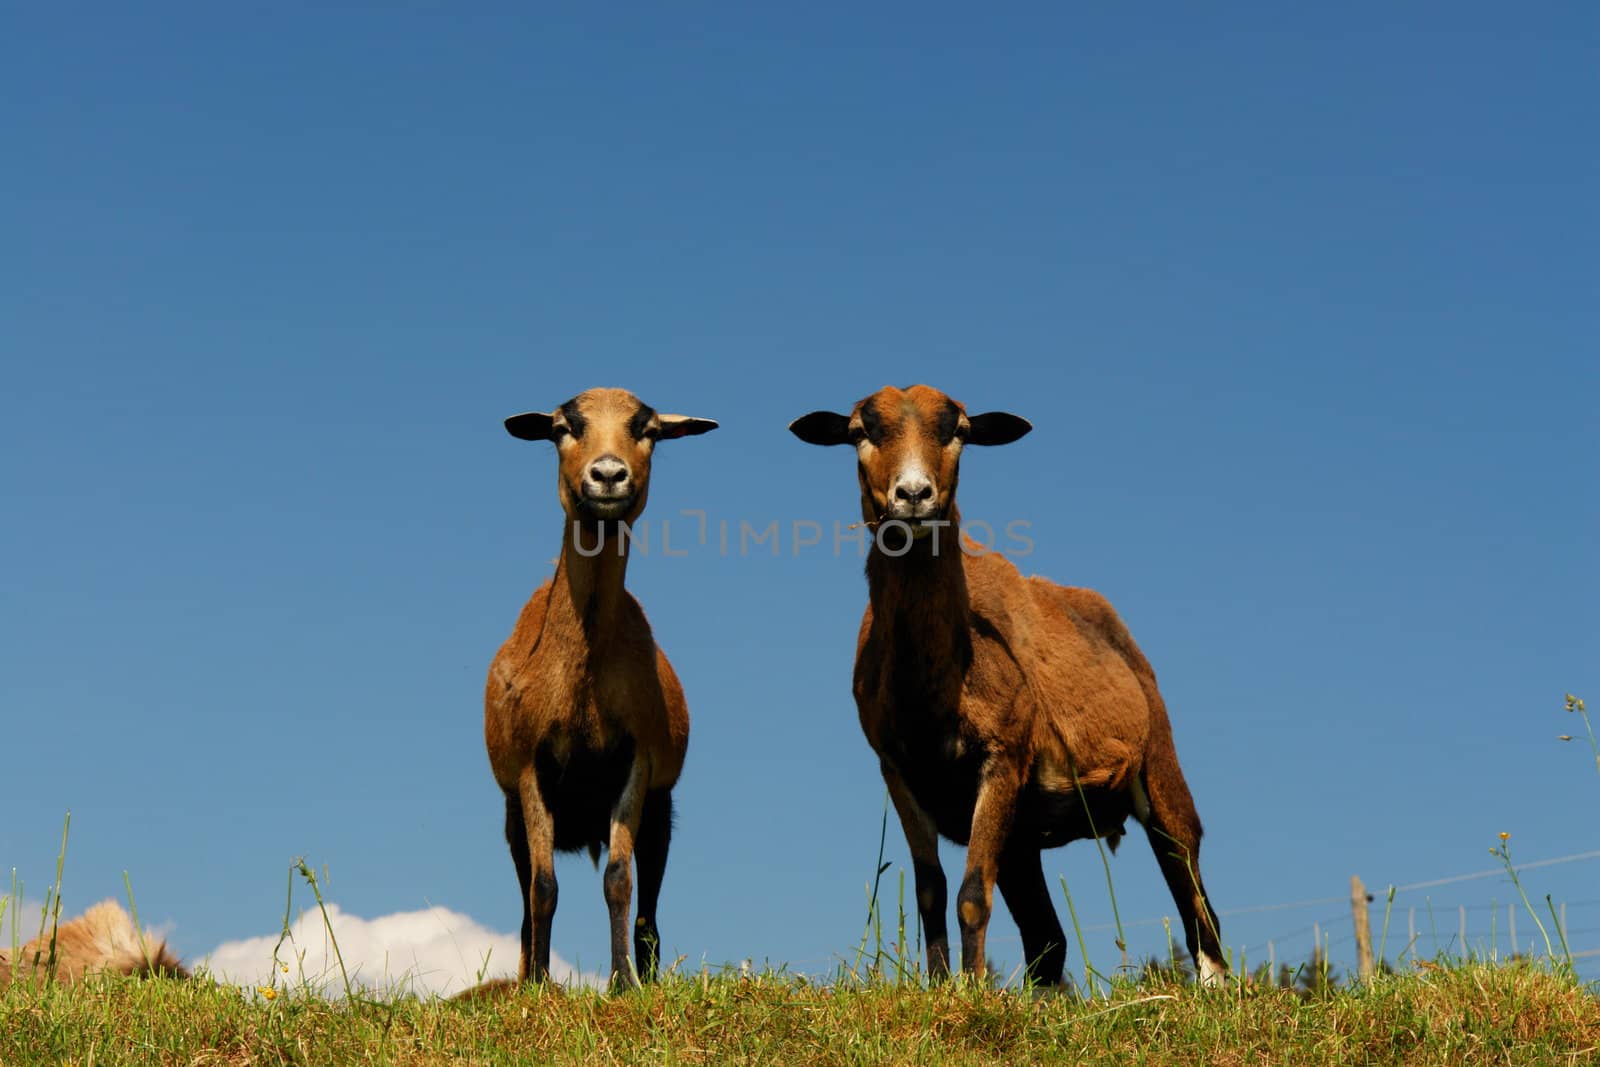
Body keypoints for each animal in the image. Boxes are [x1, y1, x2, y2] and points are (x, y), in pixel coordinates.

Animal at [483, 388, 716, 991]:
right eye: (564, 427)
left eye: (648, 430)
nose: (608, 475)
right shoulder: (530, 767)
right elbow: (543, 888)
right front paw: (541, 984)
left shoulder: (635, 760)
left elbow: (617, 878)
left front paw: (622, 982)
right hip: (513, 817)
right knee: (526, 901)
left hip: (661, 809)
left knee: (648, 911)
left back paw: (647, 973)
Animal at [787, 388, 1222, 991]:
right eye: (859, 433)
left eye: (960, 432)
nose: (914, 495)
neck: (931, 691)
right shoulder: (898, 768)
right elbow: (931, 890)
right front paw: (941, 987)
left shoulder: (1003, 756)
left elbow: (972, 895)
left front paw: (972, 991)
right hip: (1023, 835)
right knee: (1048, 938)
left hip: (1159, 768)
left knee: (1197, 902)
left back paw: (1213, 988)